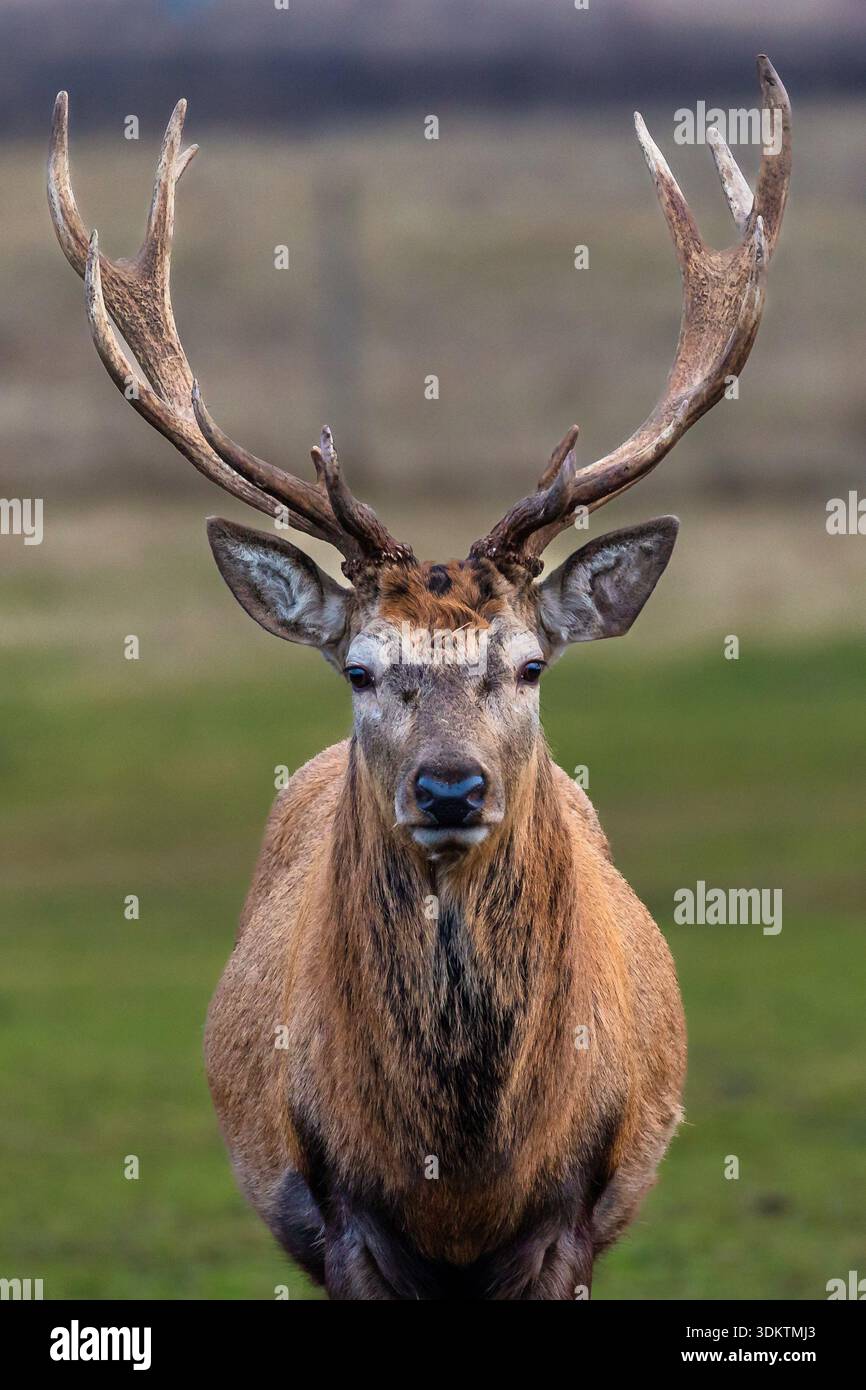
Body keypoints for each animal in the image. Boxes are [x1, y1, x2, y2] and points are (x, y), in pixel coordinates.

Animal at [48, 56, 790, 1300]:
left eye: (529, 663)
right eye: (358, 667)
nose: (449, 788)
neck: (464, 1172)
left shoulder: (577, 1215)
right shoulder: (336, 1211)